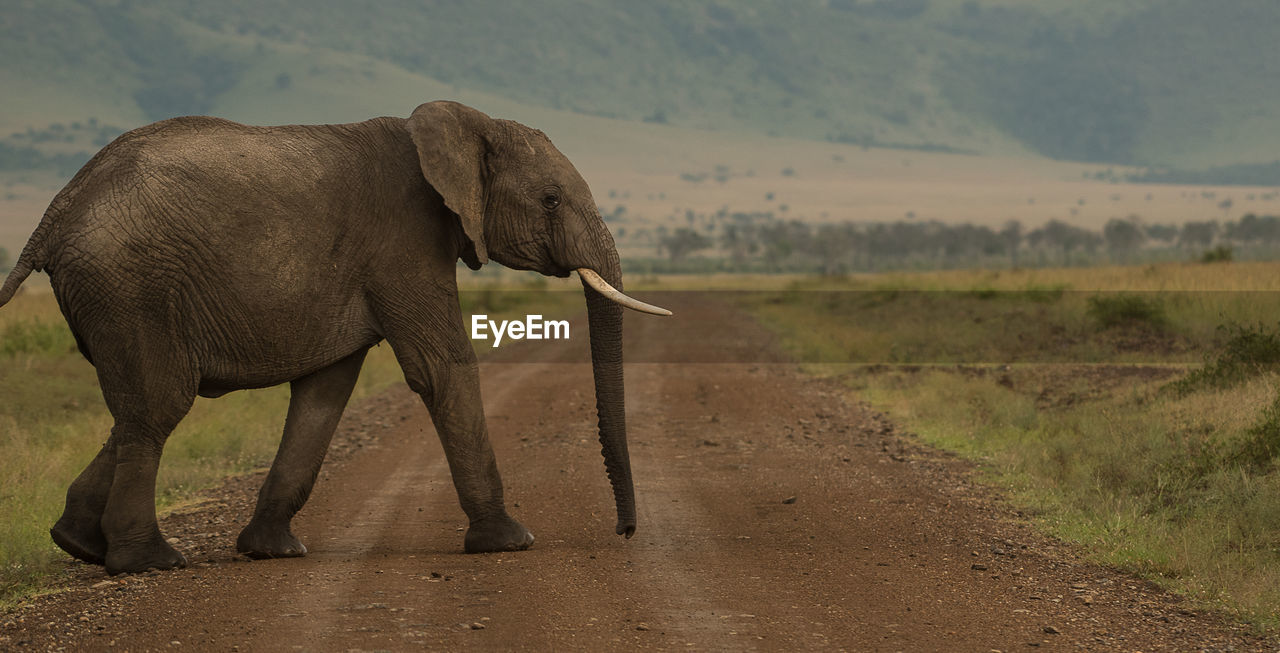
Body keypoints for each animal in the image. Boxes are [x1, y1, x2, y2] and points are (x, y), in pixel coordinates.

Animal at [0, 99, 675, 573]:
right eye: (551, 199)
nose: (625, 533)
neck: (464, 124)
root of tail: (57, 210)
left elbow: (326, 391)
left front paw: (273, 551)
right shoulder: (404, 242)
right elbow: (441, 367)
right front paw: (510, 543)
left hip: (117, 292)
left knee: (138, 408)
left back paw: (77, 542)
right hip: (131, 284)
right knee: (158, 407)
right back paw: (149, 562)